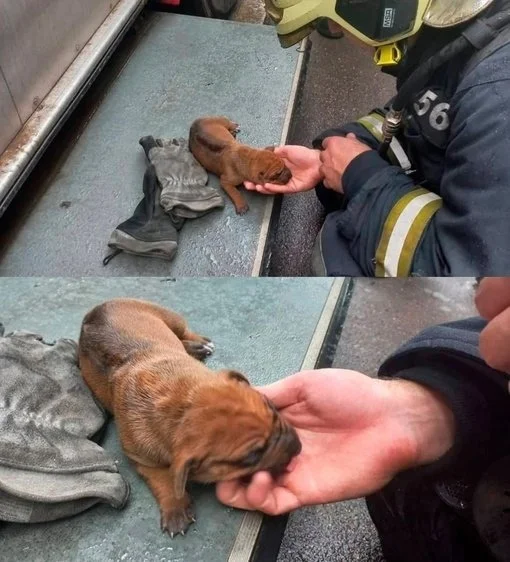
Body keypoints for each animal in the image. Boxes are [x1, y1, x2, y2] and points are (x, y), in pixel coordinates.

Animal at [77, 300, 300, 536]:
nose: (297, 445)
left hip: (169, 318)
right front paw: (175, 508)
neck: (180, 403)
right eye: (252, 456)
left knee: (184, 331)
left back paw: (200, 344)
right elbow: (164, 479)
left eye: (272, 409)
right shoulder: (143, 460)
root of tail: (93, 312)